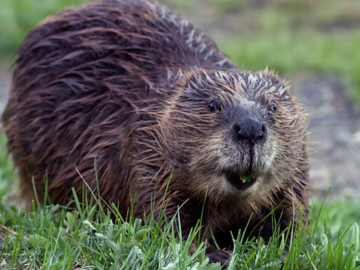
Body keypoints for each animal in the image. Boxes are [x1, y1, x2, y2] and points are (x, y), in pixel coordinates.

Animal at [0, 0, 310, 266]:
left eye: (273, 105)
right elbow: (164, 220)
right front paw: (219, 255)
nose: (250, 129)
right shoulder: (144, 154)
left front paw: (284, 251)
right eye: (213, 105)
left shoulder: (296, 172)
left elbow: (293, 215)